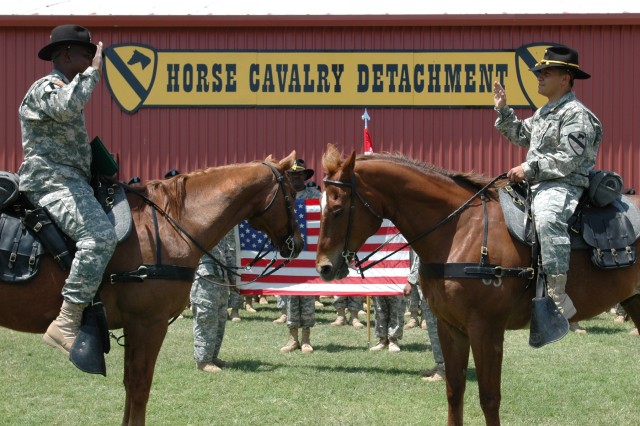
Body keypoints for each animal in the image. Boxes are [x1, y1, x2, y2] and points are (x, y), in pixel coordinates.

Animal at [0, 152, 304, 426]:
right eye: (290, 194)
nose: (298, 244)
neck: (173, 226)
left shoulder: (134, 326)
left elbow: (129, 384)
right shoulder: (149, 324)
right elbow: (139, 386)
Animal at [316, 144, 640, 426]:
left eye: (338, 208)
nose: (324, 267)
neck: (460, 229)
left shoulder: (486, 328)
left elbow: (489, 397)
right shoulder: (450, 327)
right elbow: (454, 391)